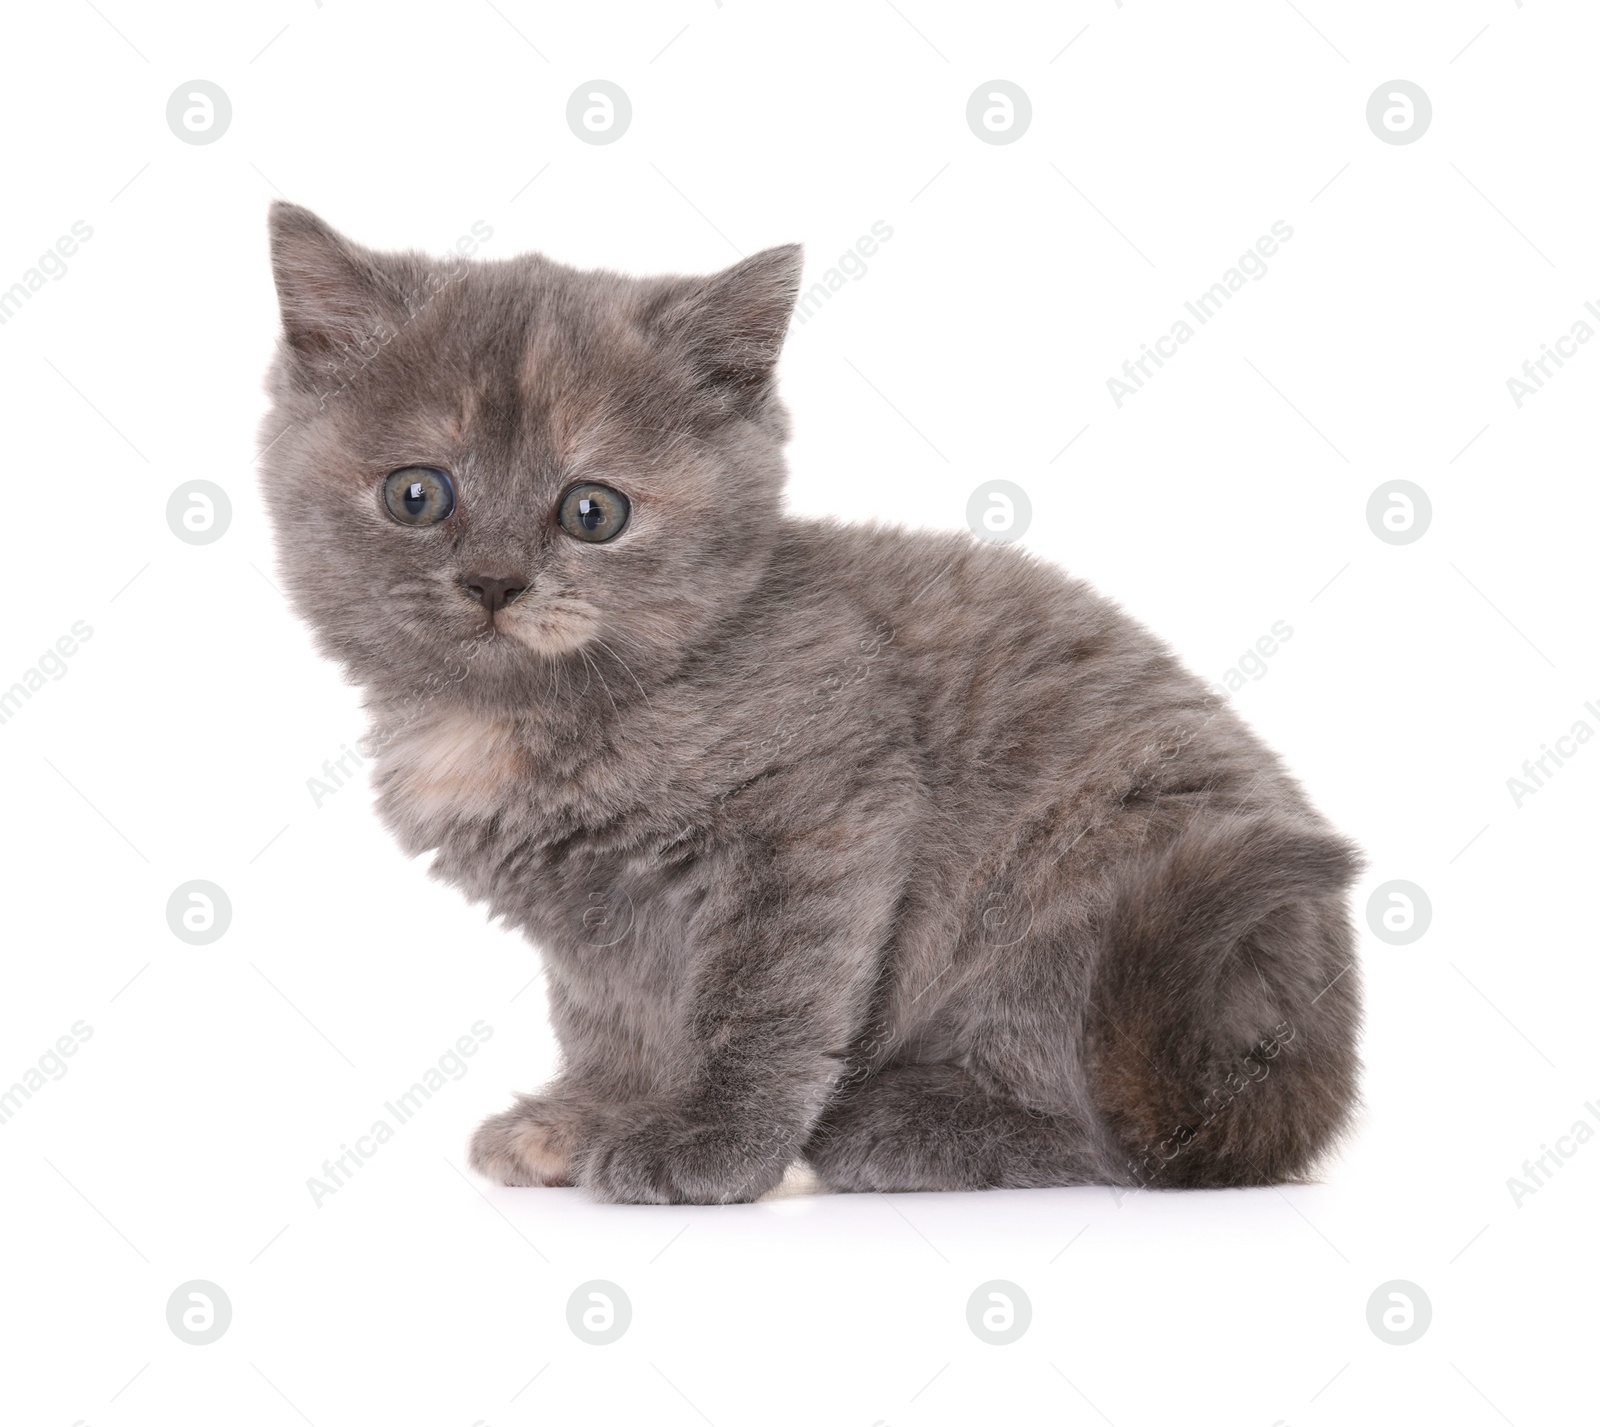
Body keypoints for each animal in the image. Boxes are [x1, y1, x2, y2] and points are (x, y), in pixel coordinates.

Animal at [259, 200, 1363, 1203]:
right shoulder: (591, 924)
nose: (494, 582)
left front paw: (706, 1143)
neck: (519, 717)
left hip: (1082, 885)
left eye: (592, 511)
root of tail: (1311, 1068)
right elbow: (610, 1014)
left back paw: (897, 1128)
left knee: (1113, 1135)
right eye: (417, 494)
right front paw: (591, 1115)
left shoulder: (824, 818)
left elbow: (764, 1004)